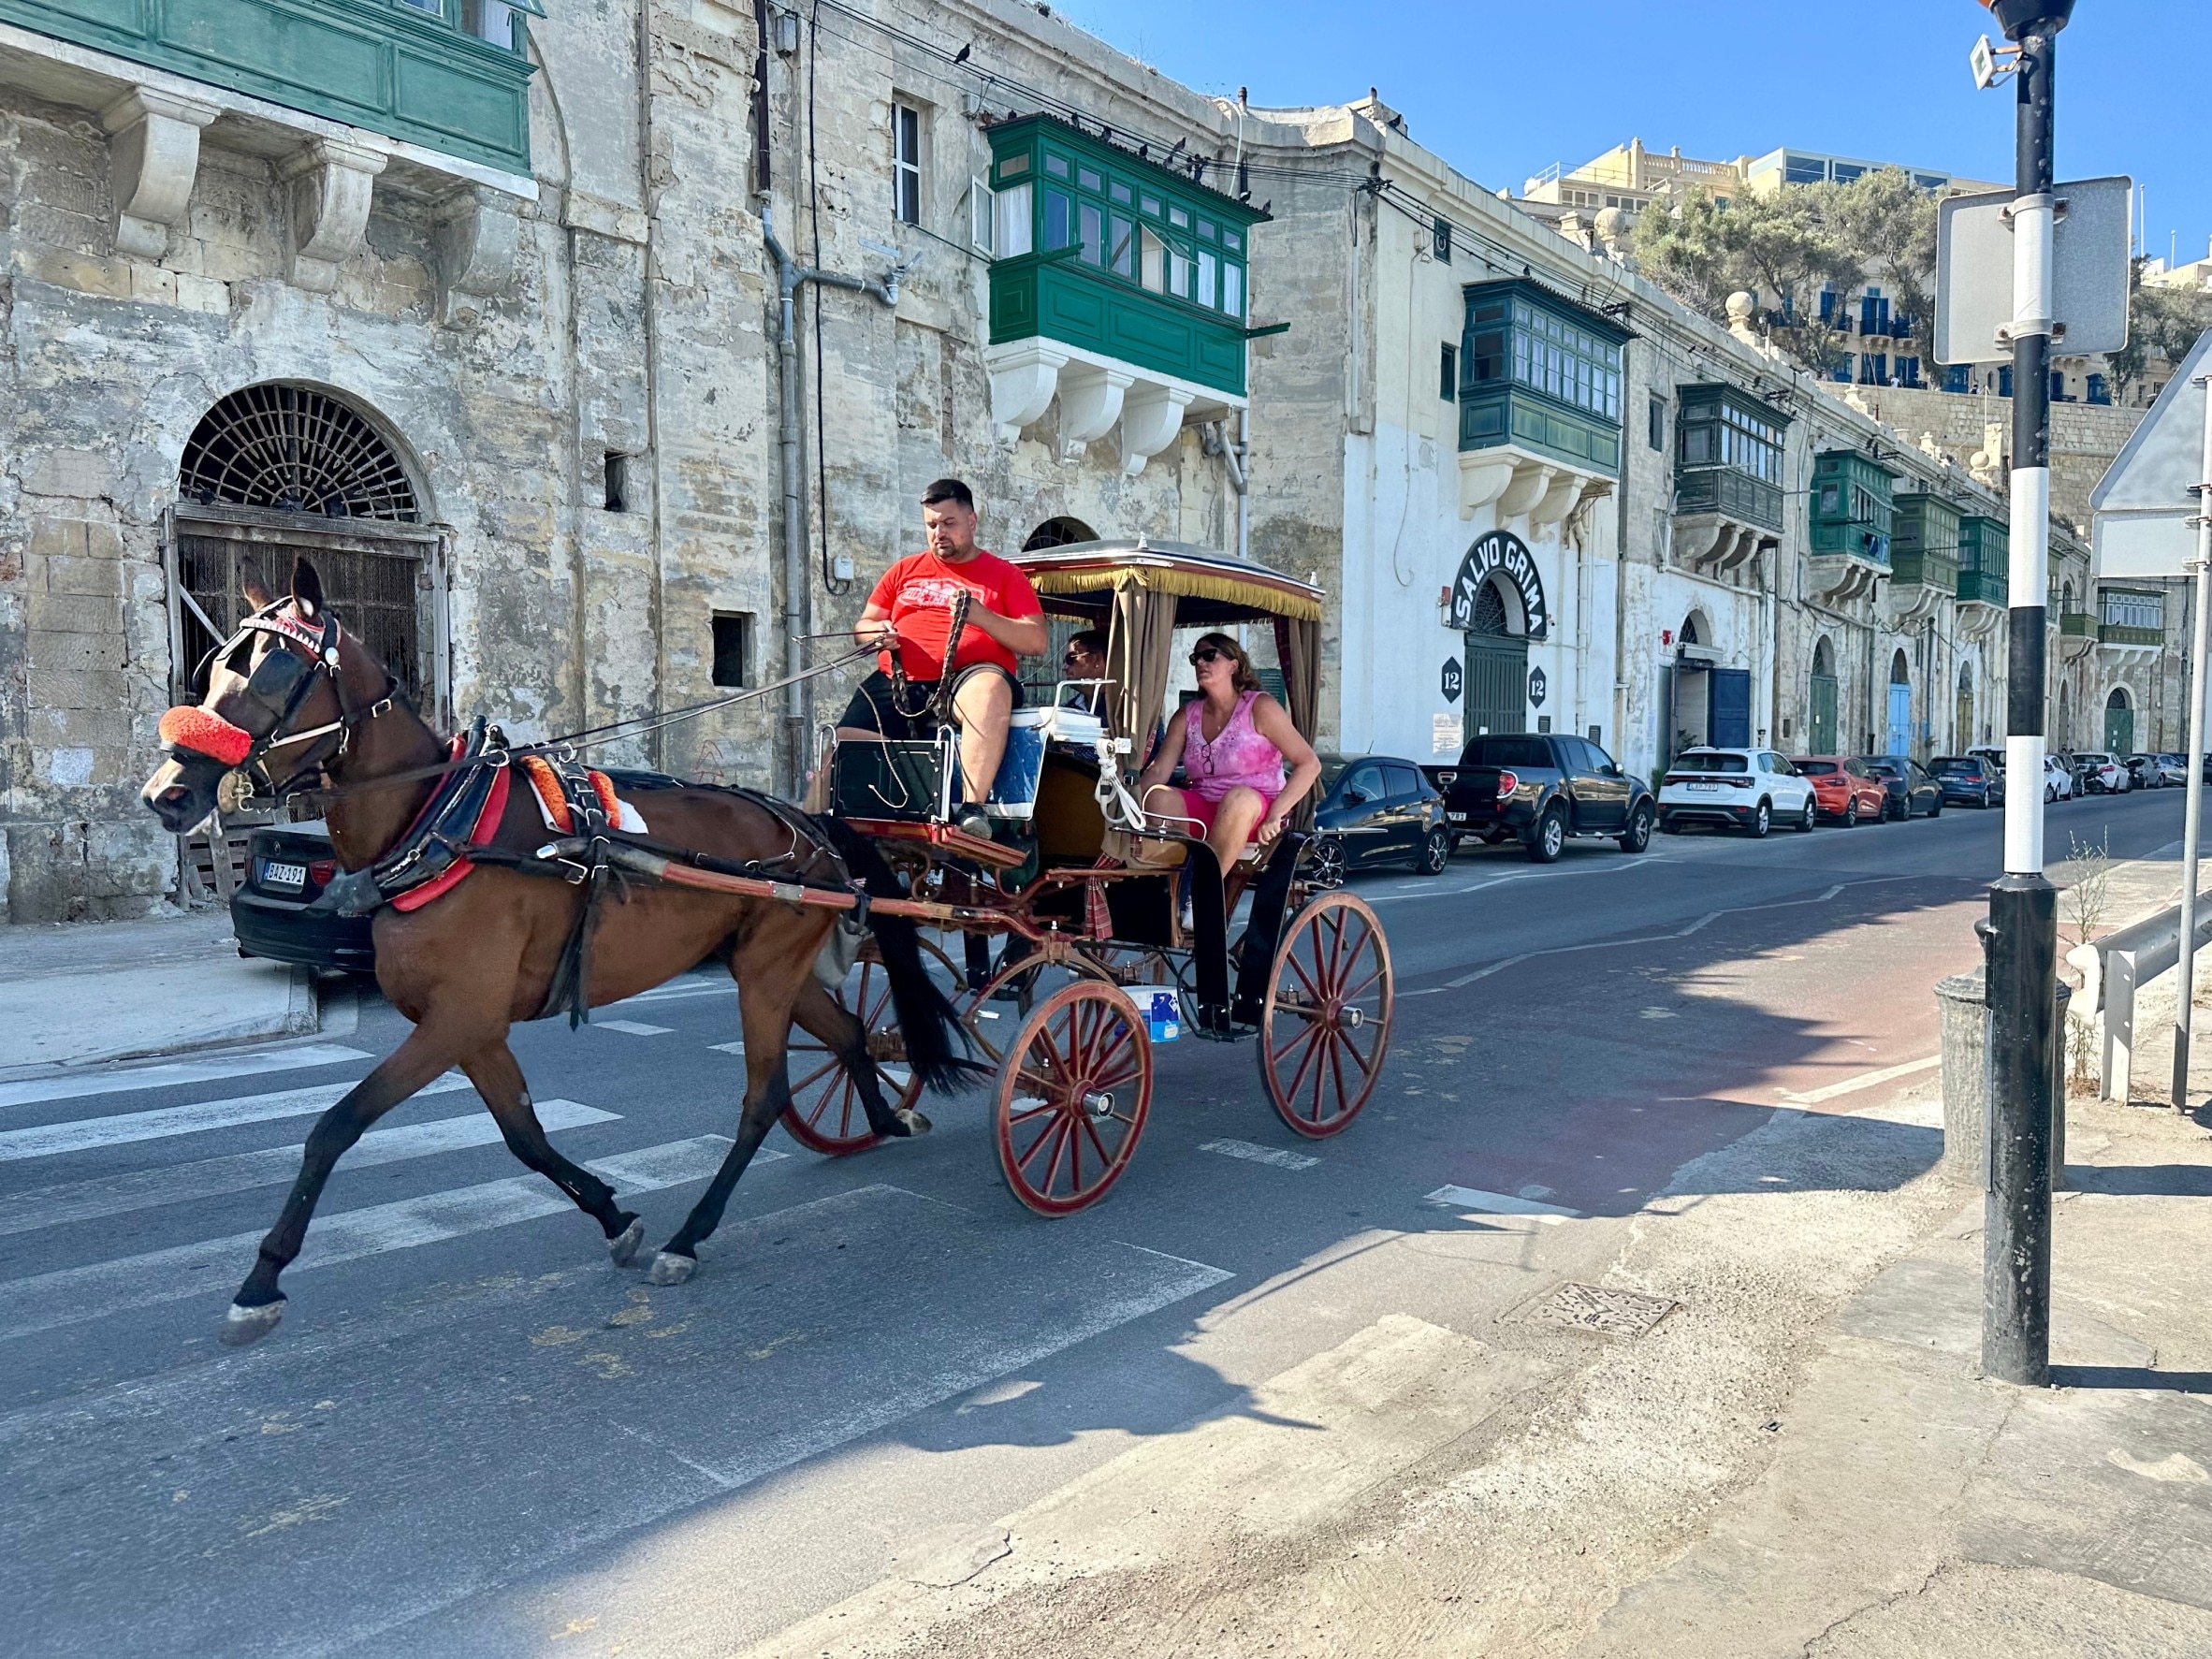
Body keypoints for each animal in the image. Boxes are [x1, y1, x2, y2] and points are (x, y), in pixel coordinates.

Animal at [142, 560, 964, 1353]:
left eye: (272, 671)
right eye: (213, 667)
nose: (167, 793)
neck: (437, 823)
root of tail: (812, 822)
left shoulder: (454, 1019)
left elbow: (334, 1126)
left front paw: (262, 1279)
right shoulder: (475, 1029)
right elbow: (524, 1135)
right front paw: (610, 1213)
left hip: (765, 974)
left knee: (764, 1098)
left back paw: (692, 1234)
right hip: (770, 967)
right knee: (849, 1033)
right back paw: (885, 1117)